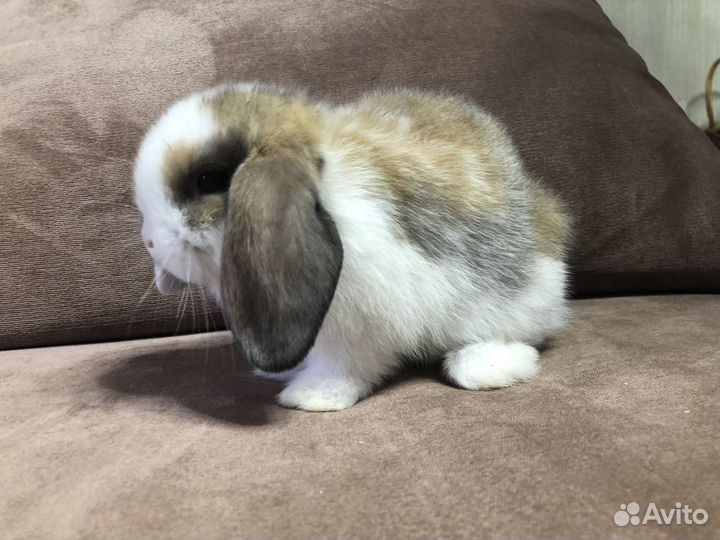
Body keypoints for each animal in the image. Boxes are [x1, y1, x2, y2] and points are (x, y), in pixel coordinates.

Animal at [134, 82, 571, 411]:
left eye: (208, 179)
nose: (151, 243)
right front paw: (281, 373)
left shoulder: (356, 321)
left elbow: (344, 364)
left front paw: (311, 397)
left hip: (515, 304)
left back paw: (489, 366)